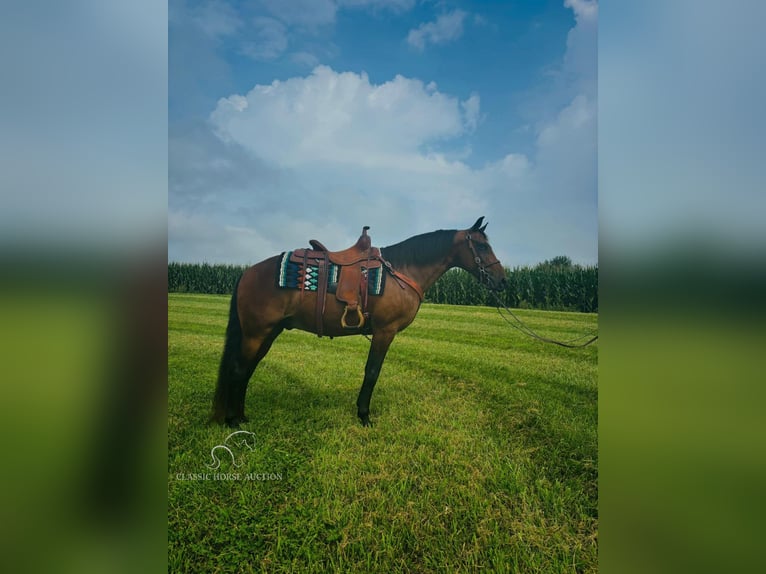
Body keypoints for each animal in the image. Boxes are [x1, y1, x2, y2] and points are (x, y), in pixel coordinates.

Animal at [213, 216, 508, 428]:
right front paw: (364, 415)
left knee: (247, 370)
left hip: (267, 333)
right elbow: (372, 372)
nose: (503, 280)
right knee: (238, 370)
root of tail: (247, 273)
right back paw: (232, 421)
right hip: (256, 333)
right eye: (482, 245)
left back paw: (241, 416)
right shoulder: (384, 331)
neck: (402, 271)